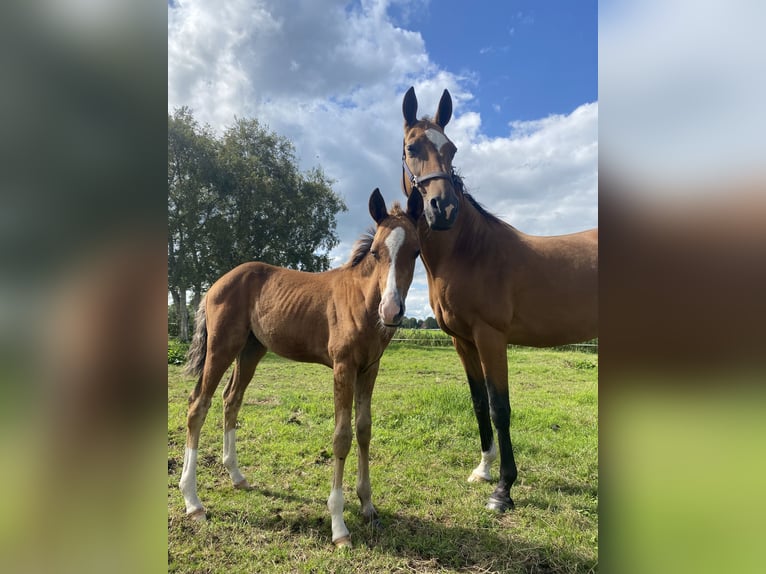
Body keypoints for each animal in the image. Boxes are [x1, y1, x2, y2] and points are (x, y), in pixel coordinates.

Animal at [178, 189, 426, 548]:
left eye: (416, 252)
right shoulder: (343, 367)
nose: (392, 310)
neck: (362, 302)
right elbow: (342, 436)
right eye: (376, 252)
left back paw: (236, 475)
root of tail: (215, 284)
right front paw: (339, 526)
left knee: (230, 399)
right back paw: (192, 501)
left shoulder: (370, 368)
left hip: (251, 350)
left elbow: (364, 430)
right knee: (199, 404)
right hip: (222, 347)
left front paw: (367, 505)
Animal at [402, 89, 600, 512]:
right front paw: (483, 470)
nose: (444, 208)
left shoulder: (490, 337)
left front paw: (503, 489)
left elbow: (499, 408)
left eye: (452, 149)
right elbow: (478, 403)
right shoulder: (462, 340)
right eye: (412, 147)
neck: (469, 252)